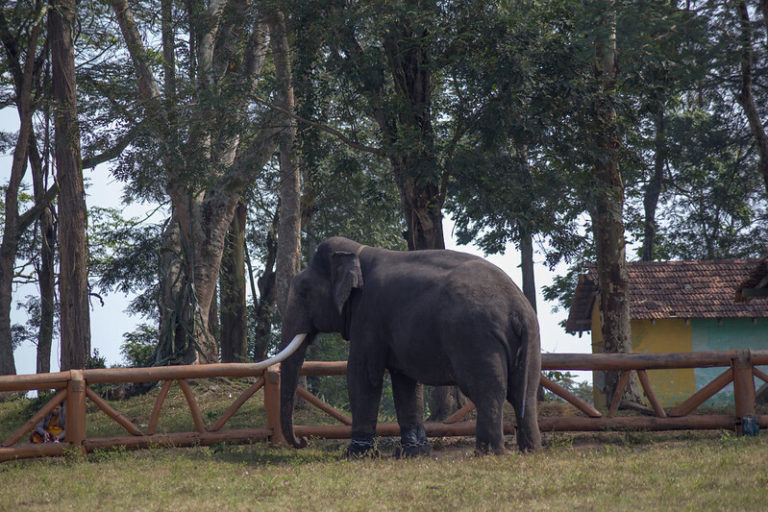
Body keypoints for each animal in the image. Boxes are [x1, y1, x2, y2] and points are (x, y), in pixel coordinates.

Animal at [278, 237, 540, 456]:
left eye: (304, 292)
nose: (304, 441)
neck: (358, 253)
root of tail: (516, 308)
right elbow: (405, 381)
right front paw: (414, 452)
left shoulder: (368, 314)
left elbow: (363, 375)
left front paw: (356, 455)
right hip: (530, 337)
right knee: (525, 390)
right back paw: (529, 450)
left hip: (476, 338)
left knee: (488, 391)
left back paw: (487, 454)